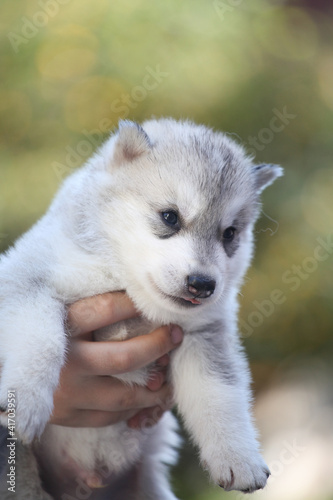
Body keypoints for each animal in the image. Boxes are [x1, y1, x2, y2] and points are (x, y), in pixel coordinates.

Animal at [0, 119, 282, 498]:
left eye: (230, 234)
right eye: (170, 217)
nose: (203, 284)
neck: (124, 281)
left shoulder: (204, 333)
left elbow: (220, 393)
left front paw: (238, 458)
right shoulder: (25, 278)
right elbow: (41, 338)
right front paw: (26, 399)